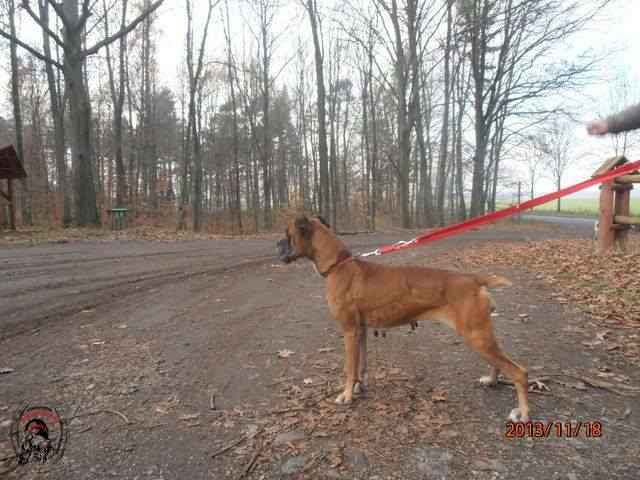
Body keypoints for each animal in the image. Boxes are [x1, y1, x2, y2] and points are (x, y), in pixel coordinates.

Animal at [277, 215, 530, 422]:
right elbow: (361, 365)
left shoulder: (349, 330)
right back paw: (492, 381)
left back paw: (523, 413)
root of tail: (474, 279)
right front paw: (358, 388)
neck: (338, 264)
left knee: (519, 372)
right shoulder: (360, 330)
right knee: (500, 363)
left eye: (288, 234)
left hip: (476, 336)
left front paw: (346, 395)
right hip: (481, 336)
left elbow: (349, 368)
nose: (277, 245)